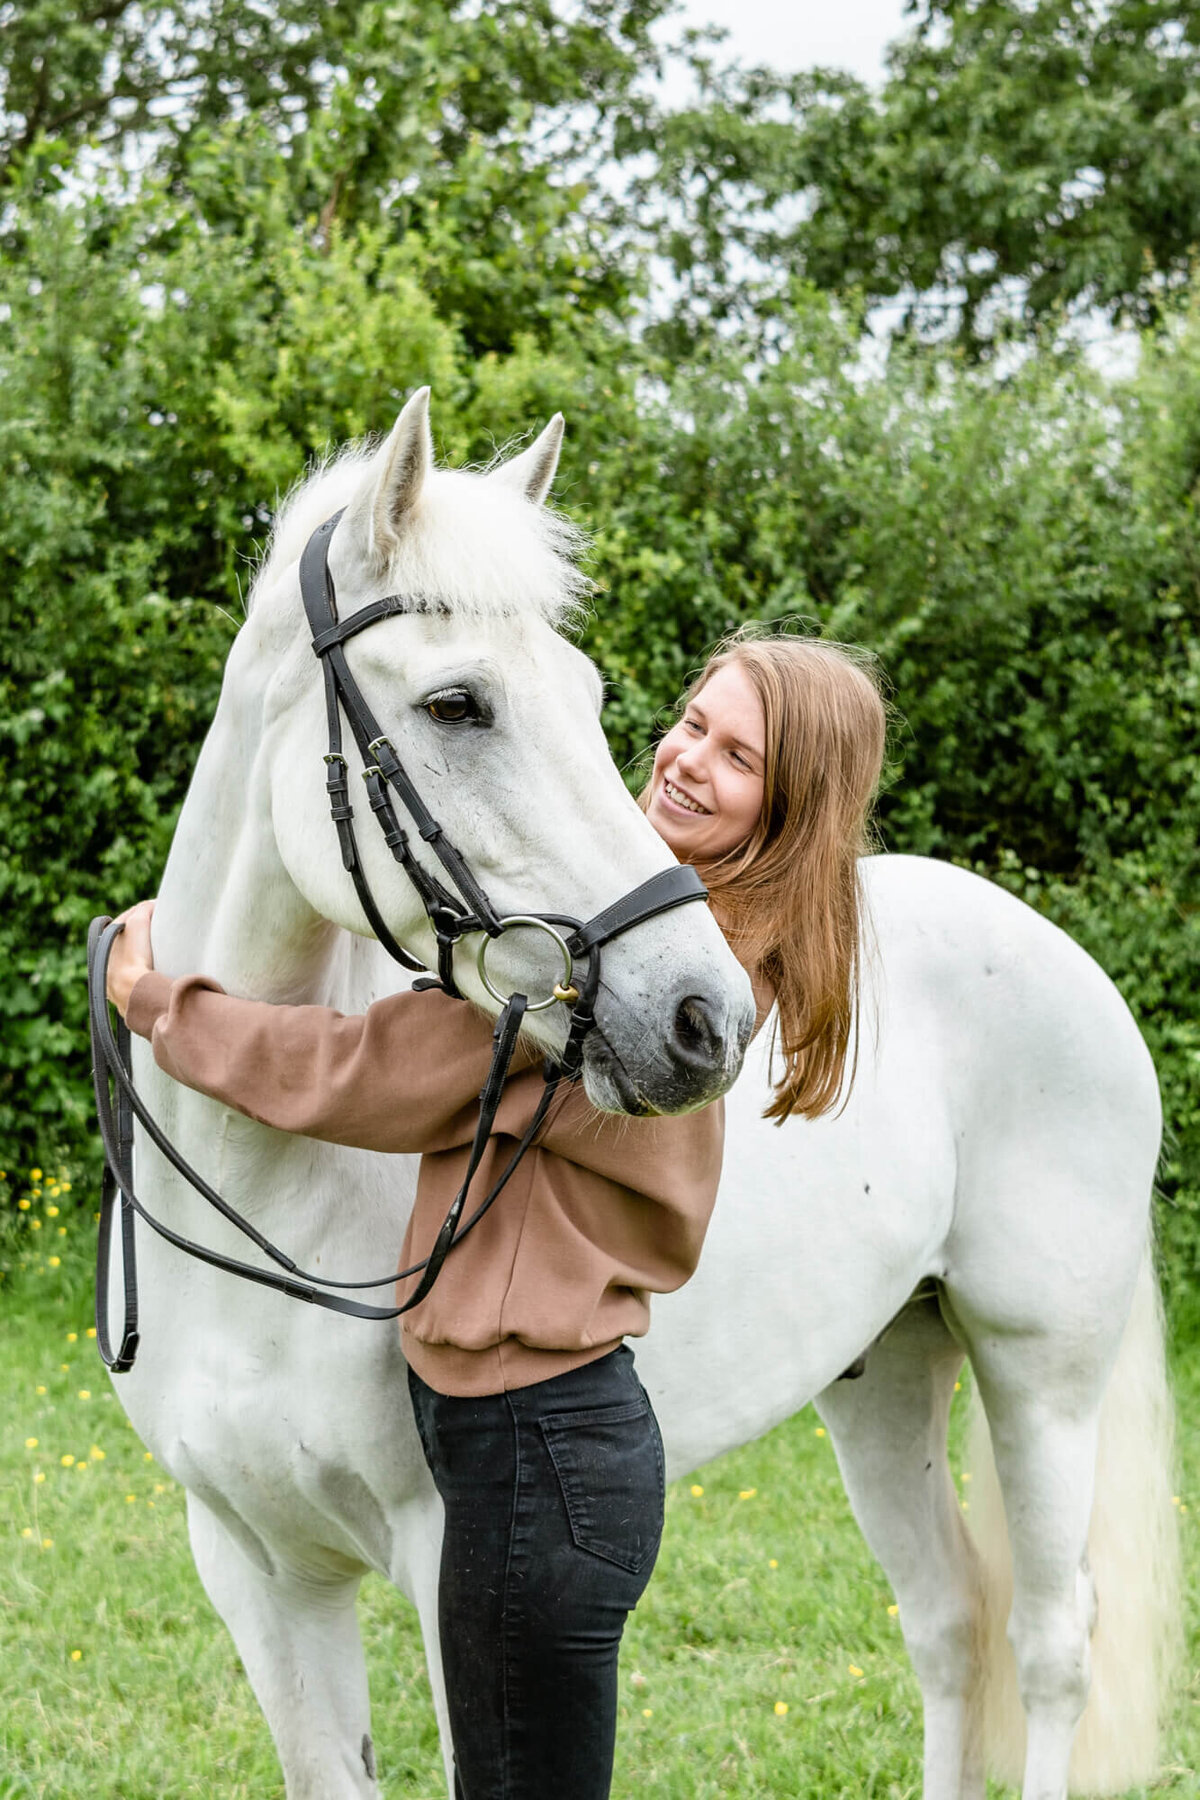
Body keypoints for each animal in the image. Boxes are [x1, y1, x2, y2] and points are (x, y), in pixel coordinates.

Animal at [115, 394, 1180, 1800]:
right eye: (457, 704)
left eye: (586, 695)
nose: (704, 1019)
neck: (260, 1175)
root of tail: (1065, 959)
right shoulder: (257, 1569)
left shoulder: (450, 1565)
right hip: (887, 1372)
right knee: (953, 1620)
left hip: (1041, 1372)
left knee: (1053, 1645)